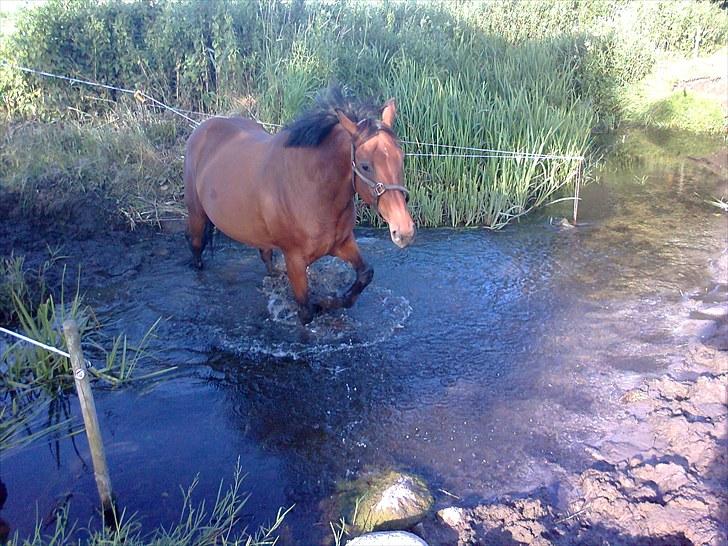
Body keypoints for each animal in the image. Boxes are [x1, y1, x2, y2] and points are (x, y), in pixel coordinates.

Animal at [183, 87, 416, 320]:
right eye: (365, 166)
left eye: (401, 158)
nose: (404, 231)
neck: (312, 192)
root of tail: (203, 127)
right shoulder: (295, 260)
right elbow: (306, 311)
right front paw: (321, 305)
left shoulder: (342, 244)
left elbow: (365, 274)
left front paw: (328, 302)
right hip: (196, 214)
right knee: (196, 248)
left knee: (266, 258)